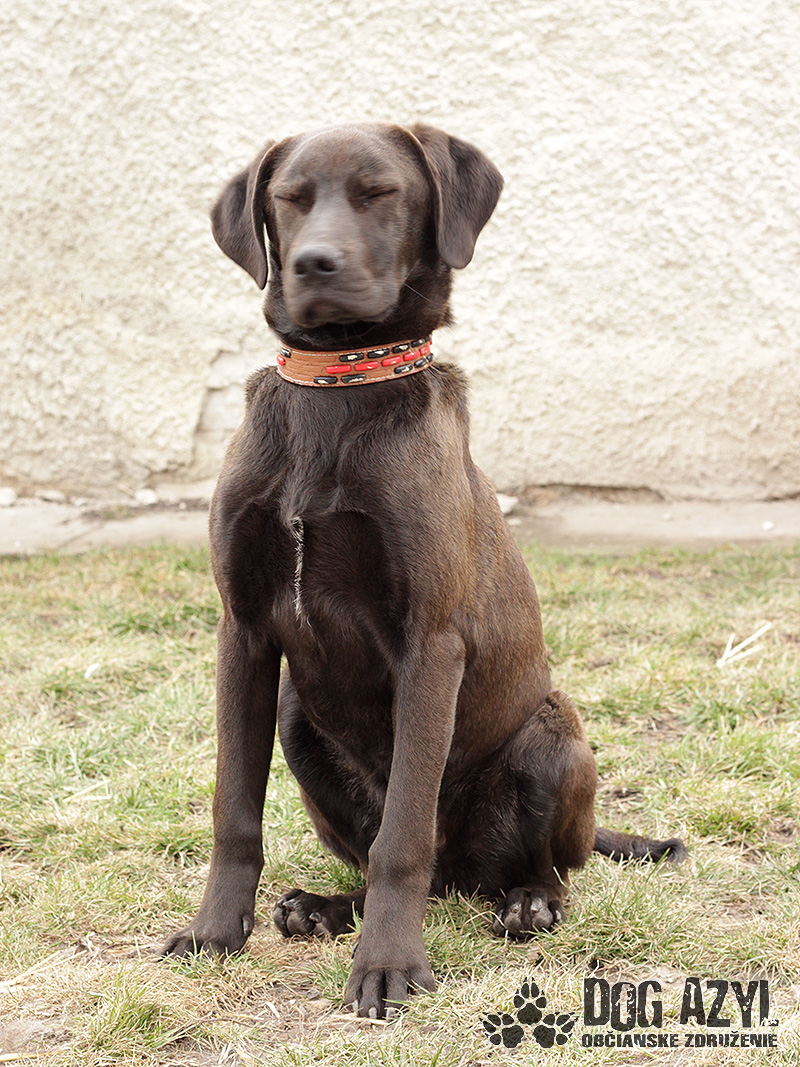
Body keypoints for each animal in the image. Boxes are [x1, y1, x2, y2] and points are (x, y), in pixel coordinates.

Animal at [163, 122, 684, 1019]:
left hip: (553, 732)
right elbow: (235, 810)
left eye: (380, 193)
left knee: (519, 868)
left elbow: (401, 836)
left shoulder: (430, 644)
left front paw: (388, 966)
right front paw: (215, 933)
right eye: (289, 199)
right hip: (299, 719)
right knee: (420, 871)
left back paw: (527, 903)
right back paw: (324, 906)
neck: (337, 391)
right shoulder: (245, 632)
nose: (317, 263)